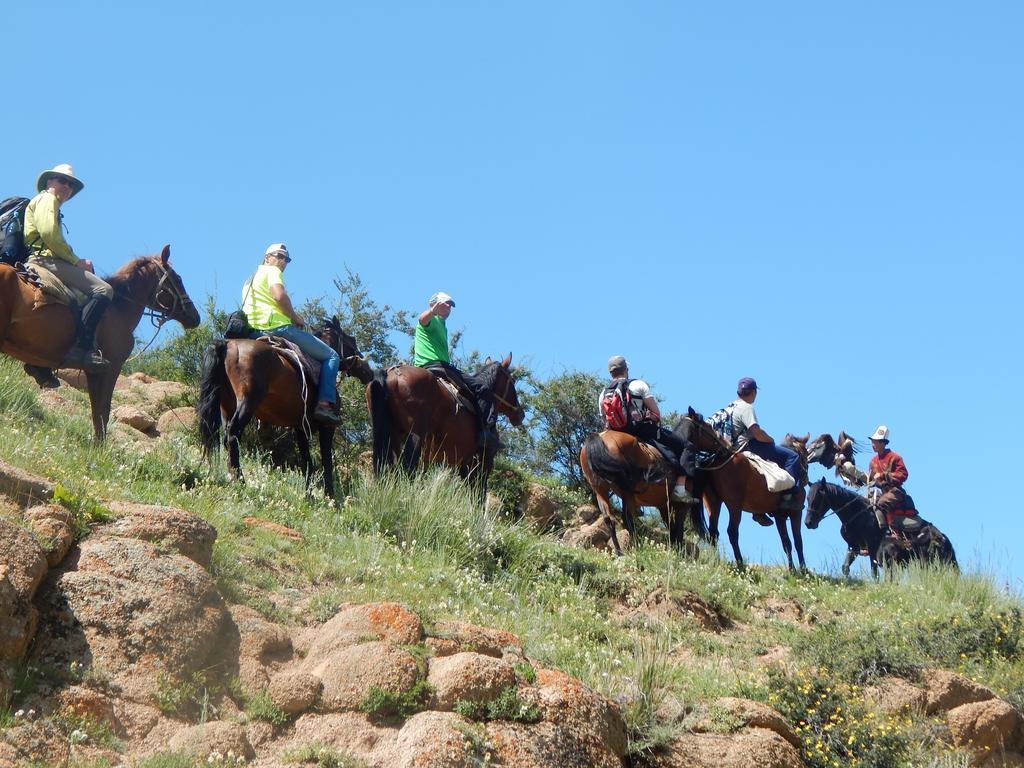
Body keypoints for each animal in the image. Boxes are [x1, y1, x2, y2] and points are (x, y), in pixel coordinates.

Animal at [0, 246, 199, 438]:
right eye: (178, 278)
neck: (117, 309)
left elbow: (97, 412)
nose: (195, 317)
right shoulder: (111, 368)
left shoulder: (93, 371)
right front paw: (100, 448)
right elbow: (103, 411)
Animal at [196, 317, 364, 499]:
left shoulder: (301, 428)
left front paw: (309, 496)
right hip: (247, 402)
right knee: (232, 436)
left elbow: (307, 461)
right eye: (351, 339)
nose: (360, 359)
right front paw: (330, 497)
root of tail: (228, 345)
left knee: (226, 438)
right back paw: (241, 482)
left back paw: (232, 478)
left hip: (227, 406)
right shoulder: (327, 427)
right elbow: (327, 462)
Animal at [366, 358, 524, 489]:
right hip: (416, 435)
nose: (520, 414)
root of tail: (390, 373)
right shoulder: (484, 463)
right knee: (407, 468)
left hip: (393, 437)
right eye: (513, 381)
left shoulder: (463, 465)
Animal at [679, 409, 806, 573]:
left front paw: (792, 570)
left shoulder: (780, 516)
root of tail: (714, 460)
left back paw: (716, 560)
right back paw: (740, 563)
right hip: (735, 505)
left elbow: (786, 542)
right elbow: (798, 541)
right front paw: (803, 570)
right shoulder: (796, 513)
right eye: (805, 453)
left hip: (713, 502)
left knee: (714, 531)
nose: (805, 478)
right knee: (732, 532)